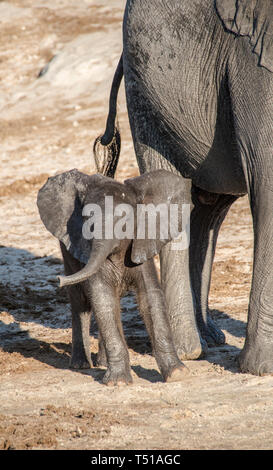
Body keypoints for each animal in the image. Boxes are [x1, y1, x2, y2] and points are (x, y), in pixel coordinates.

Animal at [37, 169, 190, 386]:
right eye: (87, 221)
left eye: (125, 222)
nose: (58, 280)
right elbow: (103, 298)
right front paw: (118, 383)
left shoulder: (140, 245)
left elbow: (150, 297)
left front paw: (178, 374)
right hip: (68, 252)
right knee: (80, 302)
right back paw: (81, 365)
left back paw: (101, 363)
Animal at [94, 0, 272, 374]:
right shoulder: (254, 63)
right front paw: (261, 369)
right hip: (146, 93)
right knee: (172, 195)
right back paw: (188, 350)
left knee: (208, 208)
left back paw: (209, 339)